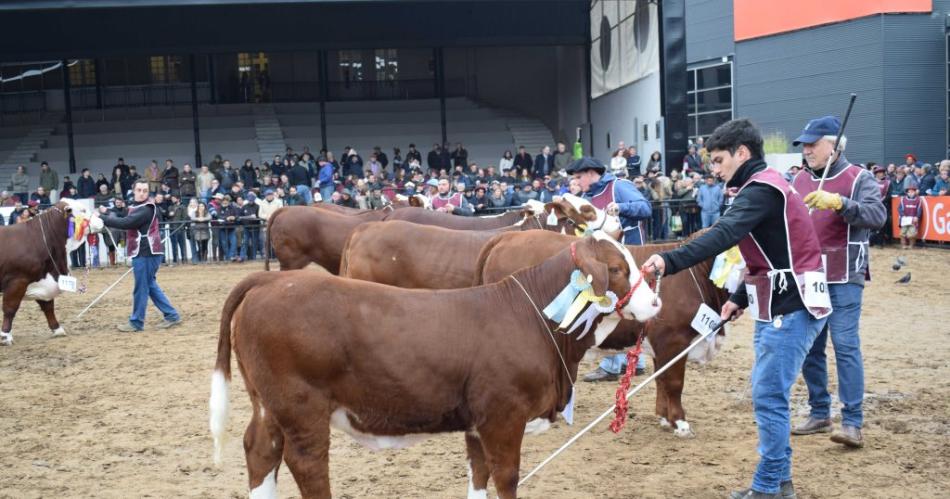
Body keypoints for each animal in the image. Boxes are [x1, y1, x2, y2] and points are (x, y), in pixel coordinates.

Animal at [0, 201, 103, 346]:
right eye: (83, 210)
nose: (101, 221)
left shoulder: (43, 279)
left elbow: (48, 307)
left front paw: (57, 329)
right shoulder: (17, 281)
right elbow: (10, 309)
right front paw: (5, 336)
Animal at [213, 235, 664, 499]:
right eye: (617, 269)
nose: (656, 302)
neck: (533, 316)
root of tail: (271, 281)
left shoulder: (478, 423)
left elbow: (479, 476)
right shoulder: (504, 415)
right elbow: (506, 476)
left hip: (268, 404)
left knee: (260, 450)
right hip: (301, 405)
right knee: (306, 462)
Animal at [476, 230, 728, 438]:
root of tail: (507, 235)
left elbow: (661, 380)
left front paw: (665, 418)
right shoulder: (673, 340)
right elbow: (674, 383)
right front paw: (681, 423)